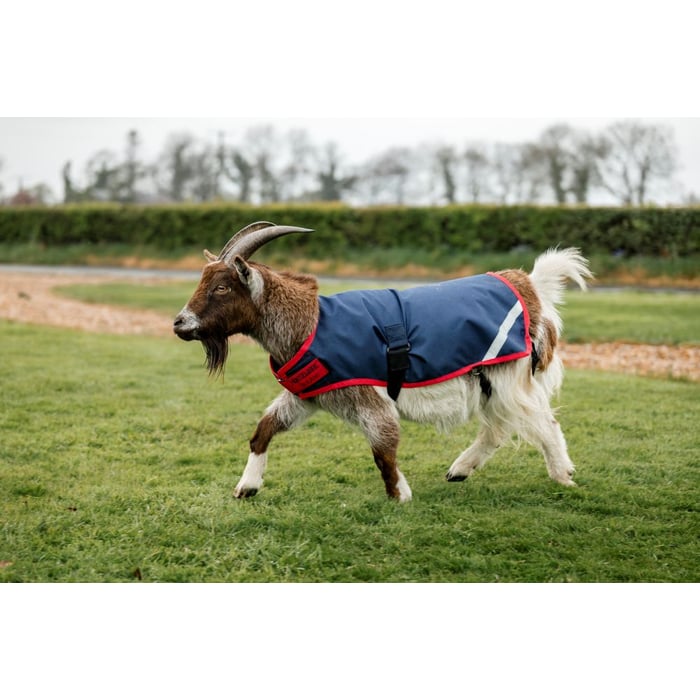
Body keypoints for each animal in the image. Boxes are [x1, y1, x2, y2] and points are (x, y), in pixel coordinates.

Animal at [173, 221, 592, 502]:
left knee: (541, 420)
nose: (179, 323)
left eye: (222, 287)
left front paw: (400, 494)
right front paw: (247, 486)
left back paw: (563, 475)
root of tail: (529, 286)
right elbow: (263, 430)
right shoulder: (307, 396)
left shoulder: (369, 397)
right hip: (487, 381)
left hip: (508, 375)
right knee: (499, 428)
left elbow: (382, 448)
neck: (310, 324)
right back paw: (460, 470)